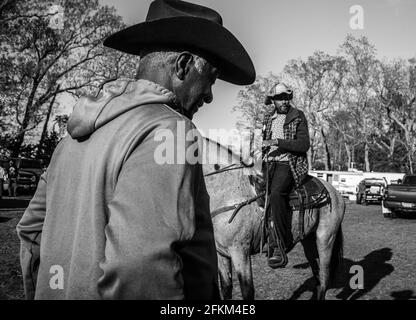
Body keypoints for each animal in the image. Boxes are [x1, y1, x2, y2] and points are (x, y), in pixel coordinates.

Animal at [201, 138, 344, 300]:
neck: (228, 192)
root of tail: (334, 192)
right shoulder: (221, 253)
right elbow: (226, 288)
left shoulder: (240, 251)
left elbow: (247, 291)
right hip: (309, 242)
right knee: (319, 280)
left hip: (325, 240)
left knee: (324, 278)